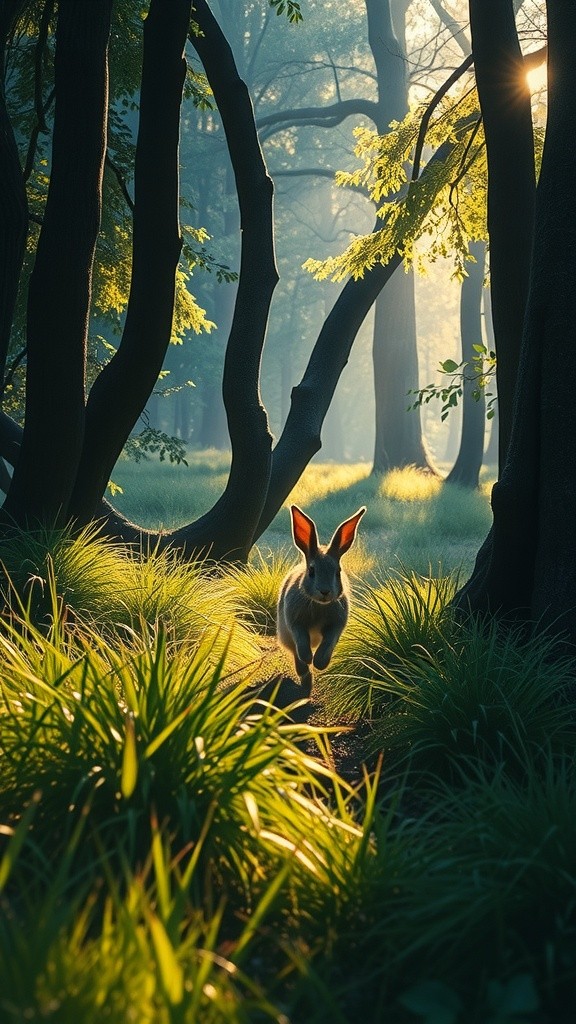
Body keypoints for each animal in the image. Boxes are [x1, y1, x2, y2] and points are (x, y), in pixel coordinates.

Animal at [277, 504, 366, 696]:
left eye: (338, 571)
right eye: (311, 571)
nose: (325, 591)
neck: (319, 605)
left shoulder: (336, 626)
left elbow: (328, 643)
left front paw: (319, 663)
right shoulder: (295, 623)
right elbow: (301, 641)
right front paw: (308, 658)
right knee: (299, 663)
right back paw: (305, 681)